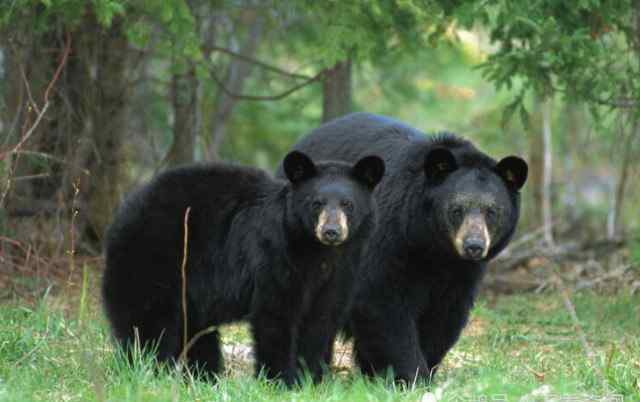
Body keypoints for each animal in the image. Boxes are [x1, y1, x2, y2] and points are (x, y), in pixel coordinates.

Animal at [101, 151, 384, 386]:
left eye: (347, 204)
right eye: (317, 203)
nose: (331, 232)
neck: (317, 252)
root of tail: (124, 212)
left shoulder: (341, 271)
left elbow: (321, 319)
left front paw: (309, 378)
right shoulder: (275, 256)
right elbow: (275, 314)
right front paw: (279, 380)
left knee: (195, 331)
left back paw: (203, 376)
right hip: (152, 259)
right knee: (147, 323)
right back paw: (148, 371)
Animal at [278, 113, 528, 384]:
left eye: (492, 211)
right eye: (456, 209)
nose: (473, 246)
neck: (433, 247)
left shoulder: (462, 273)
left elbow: (445, 316)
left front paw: (424, 369)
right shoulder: (388, 240)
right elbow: (382, 303)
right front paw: (411, 374)